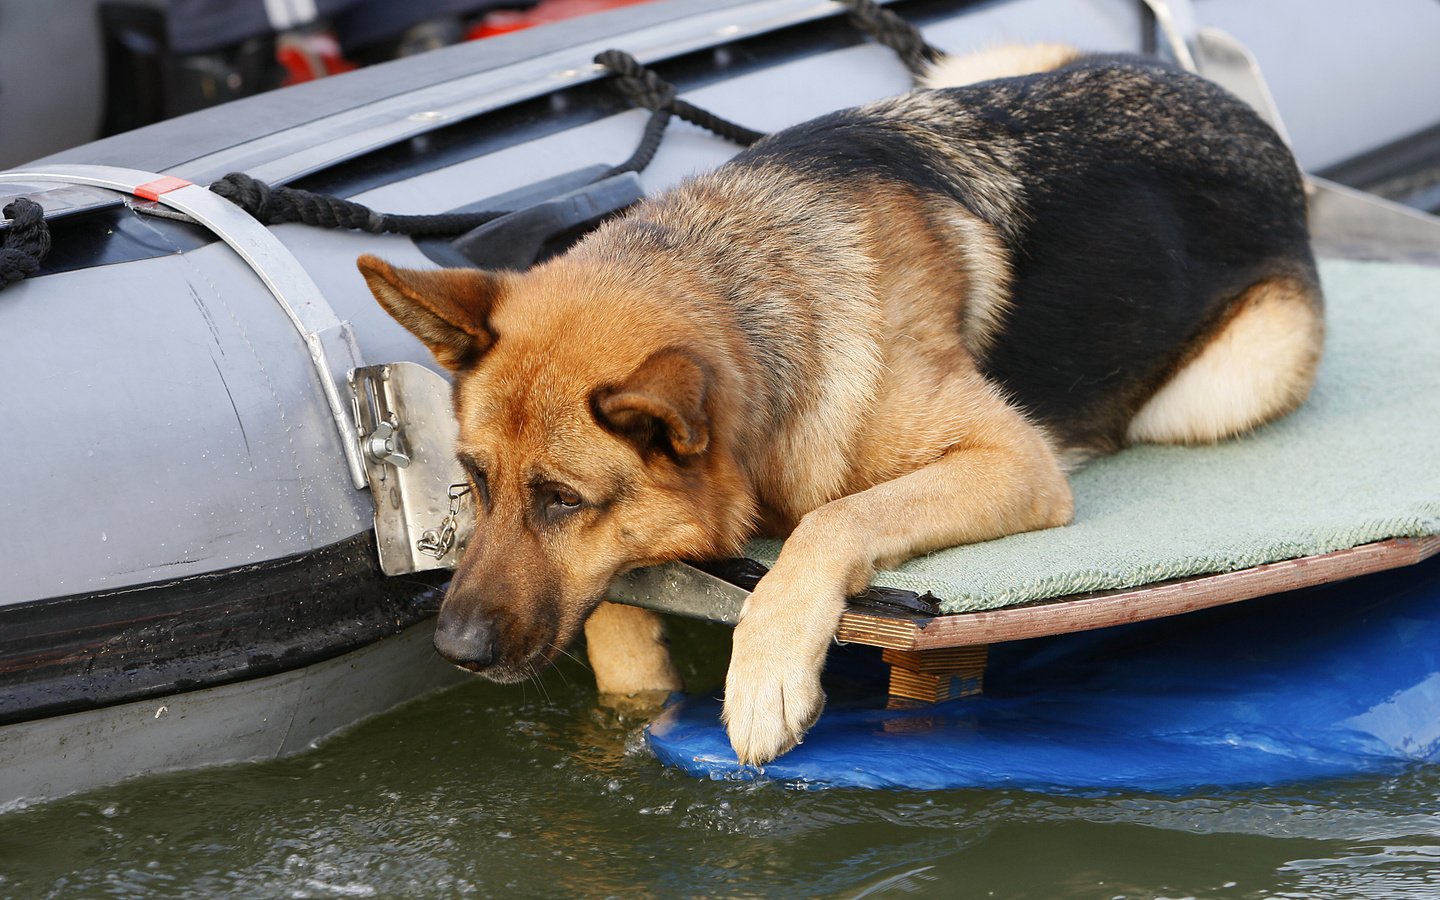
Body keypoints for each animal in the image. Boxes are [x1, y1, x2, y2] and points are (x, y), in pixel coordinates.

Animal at [362, 45, 1324, 760]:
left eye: (563, 500)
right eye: (476, 481)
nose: (453, 651)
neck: (749, 288)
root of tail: (1244, 116)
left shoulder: (1013, 460)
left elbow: (834, 519)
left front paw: (763, 671)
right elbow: (615, 610)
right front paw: (637, 687)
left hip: (1221, 387)